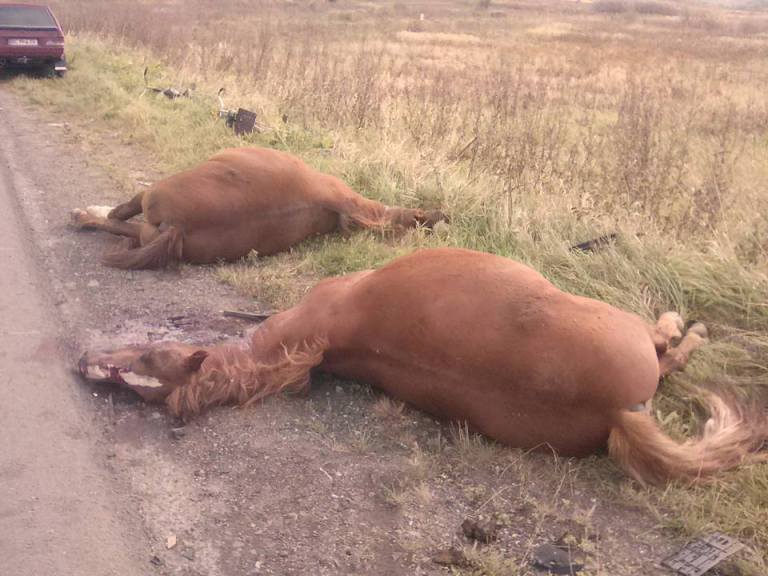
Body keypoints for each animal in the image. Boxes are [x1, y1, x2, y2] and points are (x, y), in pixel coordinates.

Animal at [78, 248, 767, 484]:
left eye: (146, 362)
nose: (84, 359)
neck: (305, 342)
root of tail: (616, 414)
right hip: (627, 331)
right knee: (669, 348)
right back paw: (692, 327)